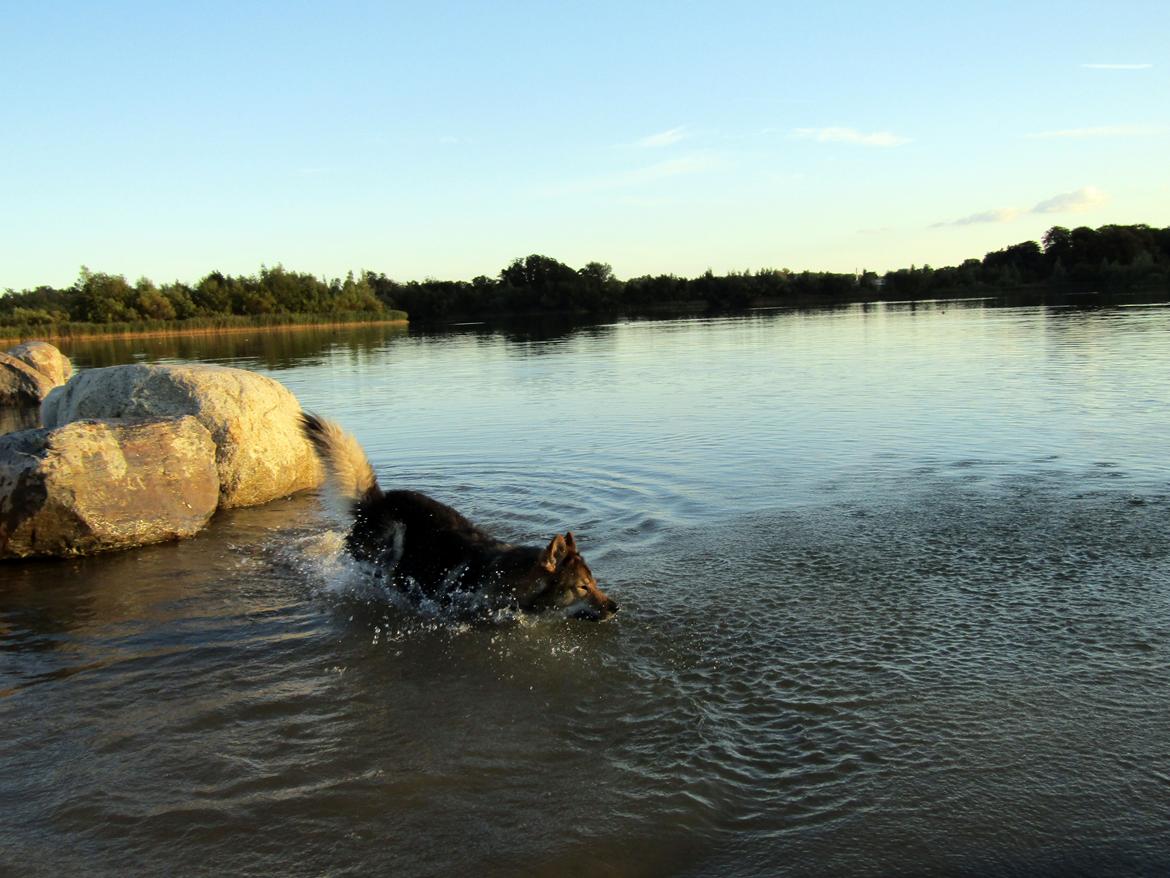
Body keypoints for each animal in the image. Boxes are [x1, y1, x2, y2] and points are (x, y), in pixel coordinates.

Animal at [297, 416, 617, 622]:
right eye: (582, 587)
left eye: (595, 583)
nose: (616, 607)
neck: (509, 579)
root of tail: (378, 500)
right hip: (384, 552)